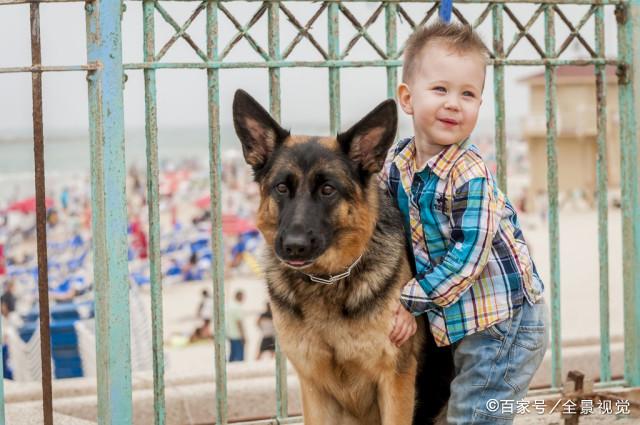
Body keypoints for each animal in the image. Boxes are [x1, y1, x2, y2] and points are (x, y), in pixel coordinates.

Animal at [234, 90, 450, 424]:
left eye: (327, 190)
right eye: (281, 188)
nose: (294, 246)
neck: (327, 280)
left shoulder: (395, 381)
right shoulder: (314, 387)